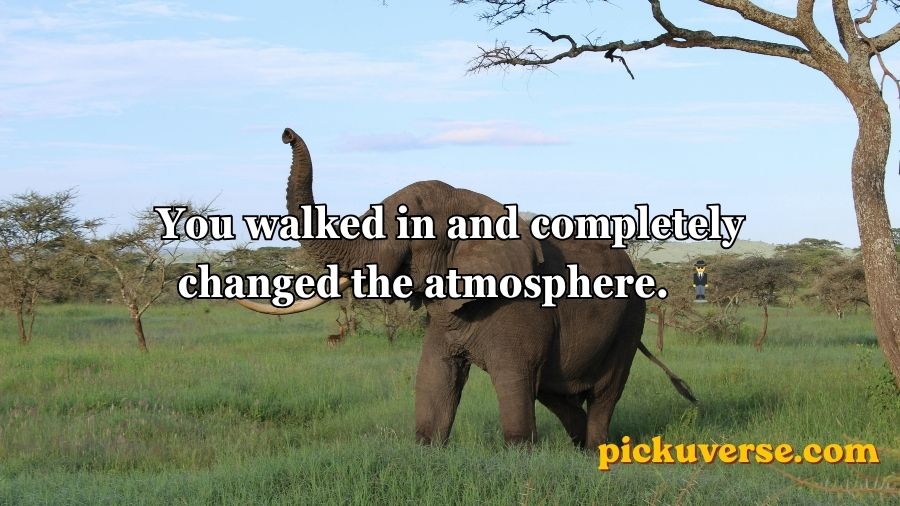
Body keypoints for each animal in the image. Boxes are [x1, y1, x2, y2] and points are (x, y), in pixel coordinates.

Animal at [238, 128, 696, 449]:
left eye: (404, 223)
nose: (286, 133)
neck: (470, 200)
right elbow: (434, 377)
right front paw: (426, 449)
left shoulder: (520, 305)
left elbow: (513, 379)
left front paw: (520, 457)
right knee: (556, 392)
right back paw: (581, 448)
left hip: (630, 320)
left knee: (602, 392)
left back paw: (598, 449)